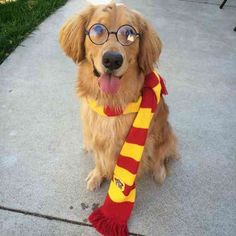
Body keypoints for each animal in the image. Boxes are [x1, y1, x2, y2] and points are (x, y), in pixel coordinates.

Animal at [59, 2, 179, 191]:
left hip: (163, 132)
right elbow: (99, 159)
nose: (112, 60)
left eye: (129, 33)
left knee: (162, 153)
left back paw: (159, 171)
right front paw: (97, 175)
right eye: (98, 29)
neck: (111, 103)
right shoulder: (96, 136)